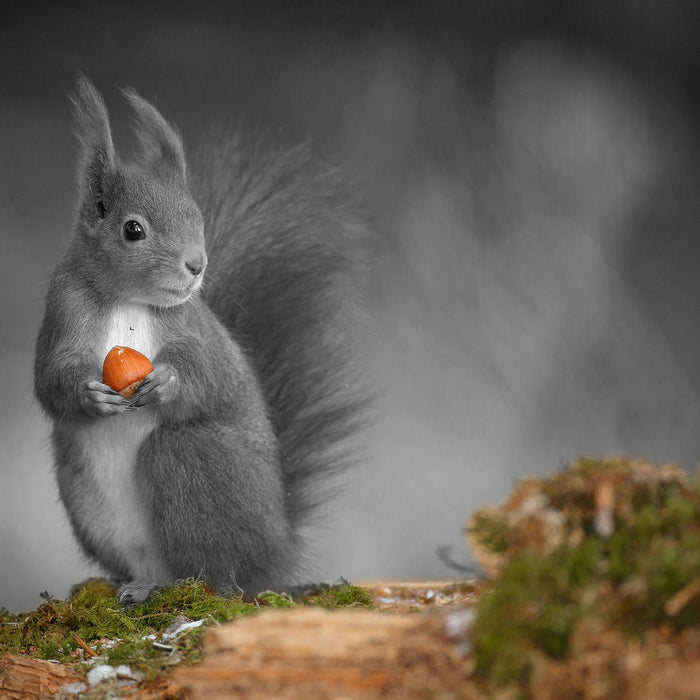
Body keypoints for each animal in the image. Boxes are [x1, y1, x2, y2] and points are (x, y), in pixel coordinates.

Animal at [32, 75, 370, 600]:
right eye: (133, 229)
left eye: (197, 217)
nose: (196, 265)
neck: (127, 300)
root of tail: (276, 553)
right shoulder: (62, 311)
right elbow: (50, 379)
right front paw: (89, 394)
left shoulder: (194, 328)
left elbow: (206, 372)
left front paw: (169, 382)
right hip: (84, 497)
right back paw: (128, 584)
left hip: (193, 459)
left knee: (213, 571)